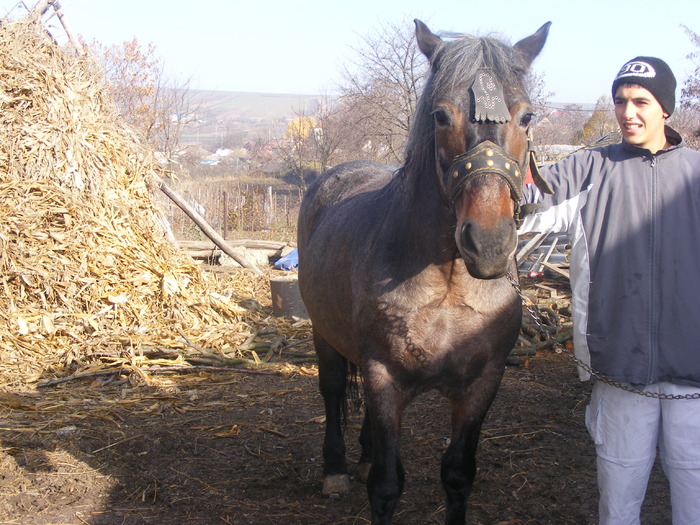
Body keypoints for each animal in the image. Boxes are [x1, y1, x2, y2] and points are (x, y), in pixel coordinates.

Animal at [296, 19, 552, 524]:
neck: (449, 283)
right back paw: (335, 469)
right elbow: (386, 485)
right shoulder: (383, 376)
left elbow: (457, 474)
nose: (488, 243)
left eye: (527, 117)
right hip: (324, 335)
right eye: (440, 116)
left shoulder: (482, 384)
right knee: (332, 390)